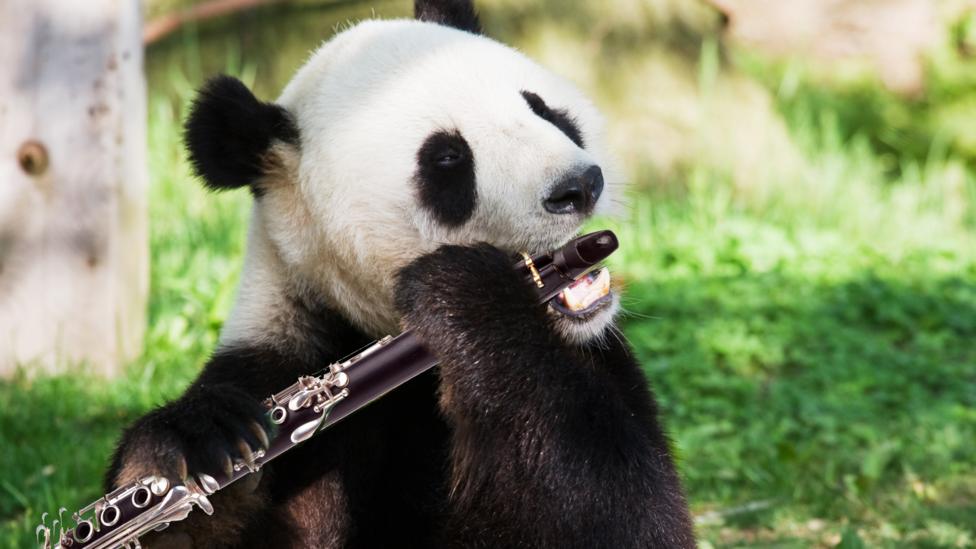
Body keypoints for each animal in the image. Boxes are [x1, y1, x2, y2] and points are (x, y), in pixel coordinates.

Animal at [106, 1, 695, 547]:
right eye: (448, 158)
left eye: (544, 109)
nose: (579, 185)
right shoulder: (277, 354)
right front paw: (196, 451)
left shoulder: (602, 360)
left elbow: (624, 513)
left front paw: (464, 294)